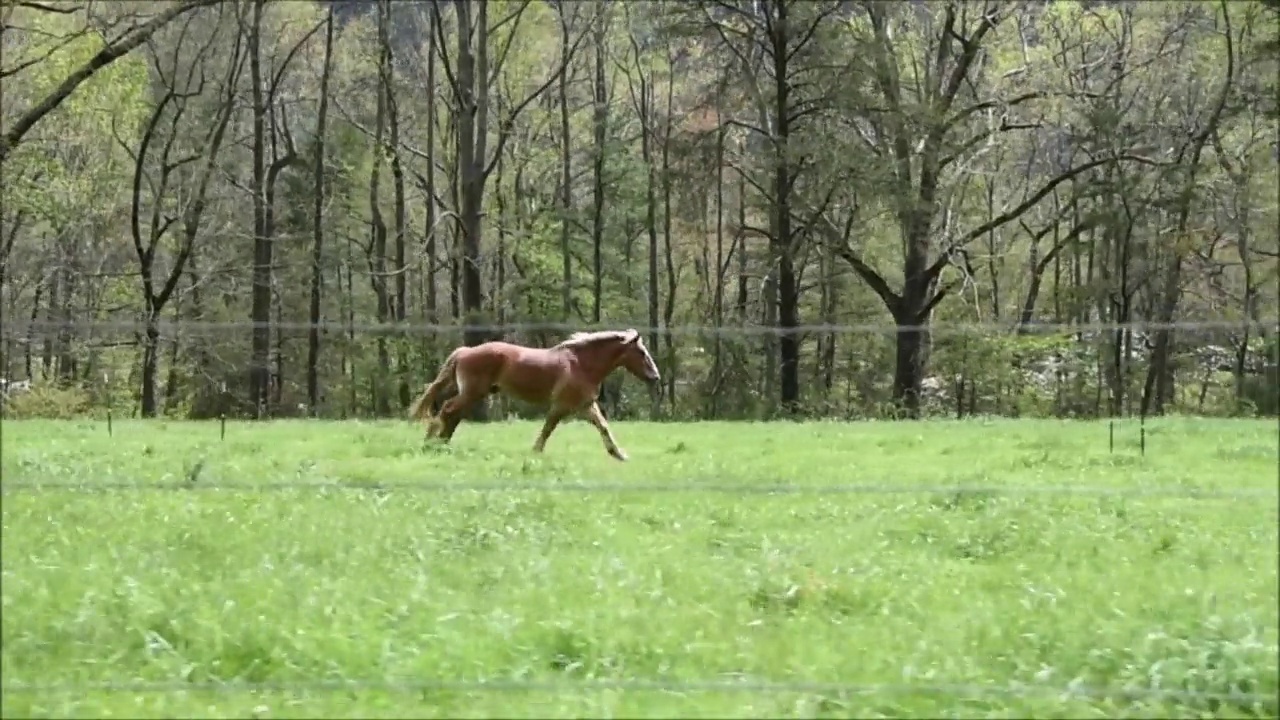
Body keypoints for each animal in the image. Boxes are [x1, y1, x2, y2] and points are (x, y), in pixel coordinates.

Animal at [407, 330, 660, 458]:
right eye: (641, 352)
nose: (655, 377)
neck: (580, 363)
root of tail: (464, 351)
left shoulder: (586, 405)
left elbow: (603, 426)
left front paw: (618, 454)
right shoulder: (561, 405)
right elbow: (548, 428)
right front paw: (535, 452)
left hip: (474, 394)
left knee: (452, 414)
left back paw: (441, 443)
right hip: (472, 393)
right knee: (447, 411)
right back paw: (433, 443)